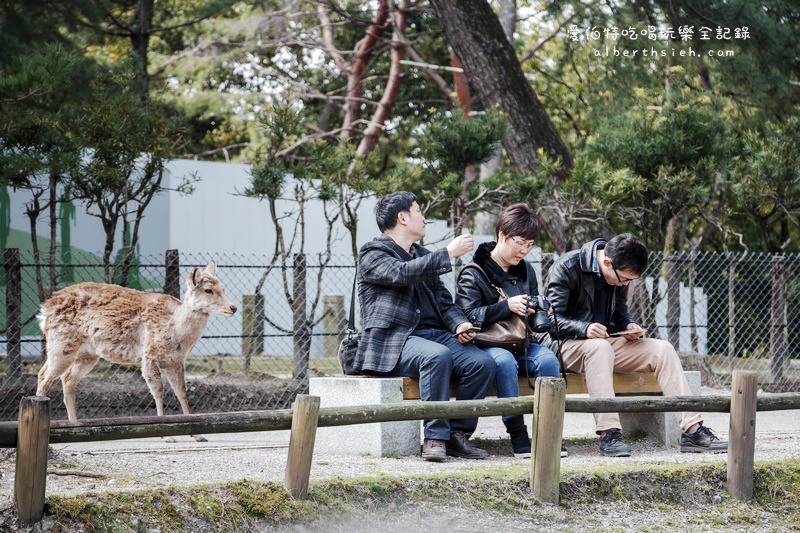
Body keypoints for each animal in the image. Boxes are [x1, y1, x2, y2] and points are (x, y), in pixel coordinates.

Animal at [36, 258, 236, 424]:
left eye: (223, 288)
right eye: (208, 290)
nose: (233, 307)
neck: (176, 332)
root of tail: (44, 311)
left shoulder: (175, 361)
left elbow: (181, 393)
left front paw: (195, 431)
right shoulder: (149, 355)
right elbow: (158, 392)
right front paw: (166, 432)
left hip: (86, 353)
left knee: (65, 378)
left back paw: (74, 422)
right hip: (61, 343)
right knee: (45, 376)